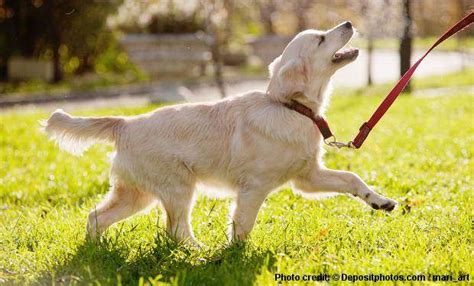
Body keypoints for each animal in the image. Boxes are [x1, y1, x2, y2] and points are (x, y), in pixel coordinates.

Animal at [44, 21, 398, 246]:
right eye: (322, 39)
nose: (349, 22)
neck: (289, 107)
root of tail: (125, 123)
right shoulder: (254, 187)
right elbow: (243, 224)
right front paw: (235, 257)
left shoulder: (307, 177)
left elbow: (351, 179)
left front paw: (379, 201)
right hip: (178, 188)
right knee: (176, 230)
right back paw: (200, 256)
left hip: (137, 193)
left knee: (95, 217)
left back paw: (95, 251)